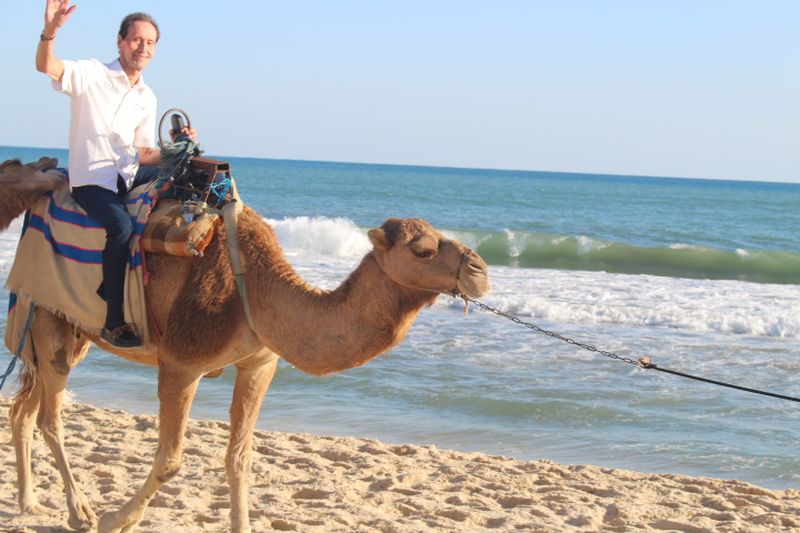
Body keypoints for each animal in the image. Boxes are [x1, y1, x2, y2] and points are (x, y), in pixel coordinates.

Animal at [0, 158, 491, 532]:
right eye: (423, 250)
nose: (481, 270)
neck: (253, 288)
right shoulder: (181, 363)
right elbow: (171, 459)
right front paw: (113, 520)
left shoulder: (260, 364)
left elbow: (240, 459)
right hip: (50, 321)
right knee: (49, 418)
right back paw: (79, 512)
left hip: (68, 329)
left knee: (23, 409)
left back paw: (30, 503)